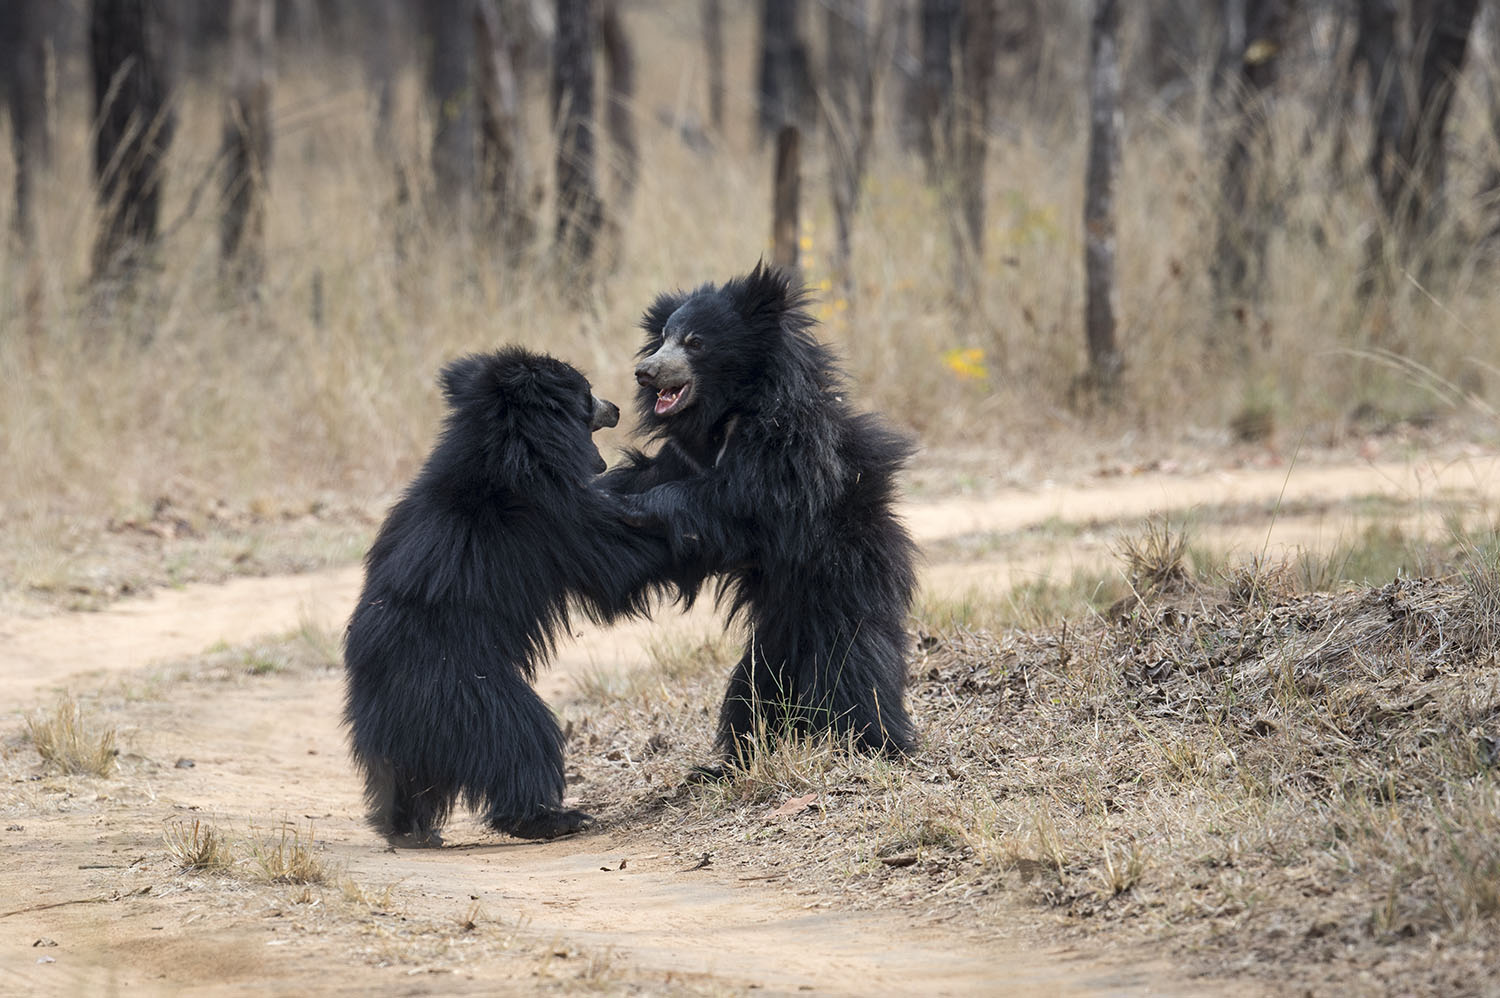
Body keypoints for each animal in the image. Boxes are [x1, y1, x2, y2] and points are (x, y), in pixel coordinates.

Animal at [345, 346, 675, 846]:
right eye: (588, 392)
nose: (616, 408)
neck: (512, 444)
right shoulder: (552, 515)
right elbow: (616, 560)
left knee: (409, 780)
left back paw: (410, 829)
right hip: (467, 692)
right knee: (522, 740)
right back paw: (550, 818)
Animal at [603, 262, 918, 756]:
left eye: (695, 342)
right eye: (662, 339)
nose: (644, 372)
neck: (727, 410)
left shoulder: (786, 449)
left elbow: (739, 500)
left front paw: (629, 506)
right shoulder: (684, 454)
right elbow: (651, 473)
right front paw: (597, 488)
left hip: (843, 575)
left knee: (853, 657)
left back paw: (869, 739)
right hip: (777, 625)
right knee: (756, 684)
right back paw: (742, 754)